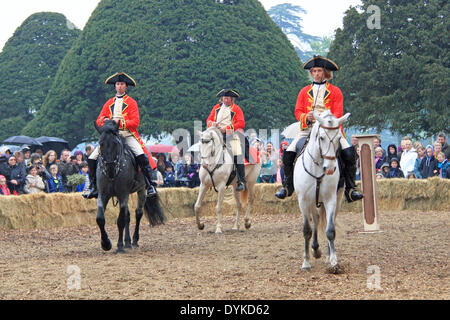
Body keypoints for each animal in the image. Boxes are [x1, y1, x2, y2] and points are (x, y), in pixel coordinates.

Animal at [94, 120, 166, 252]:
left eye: (115, 143)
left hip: (142, 191)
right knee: (127, 216)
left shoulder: (123, 194)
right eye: (101, 144)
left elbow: (120, 220)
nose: (110, 168)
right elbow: (100, 219)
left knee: (138, 213)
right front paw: (106, 244)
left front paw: (119, 246)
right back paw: (127, 242)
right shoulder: (103, 194)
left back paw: (134, 241)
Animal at [296, 110, 352, 272]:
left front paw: (333, 261)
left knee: (325, 220)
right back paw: (315, 250)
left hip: (336, 200)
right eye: (321, 137)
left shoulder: (330, 200)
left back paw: (325, 254)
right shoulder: (303, 201)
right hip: (312, 203)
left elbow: (330, 230)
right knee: (315, 220)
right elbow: (307, 230)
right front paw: (306, 262)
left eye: (339, 138)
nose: (330, 169)